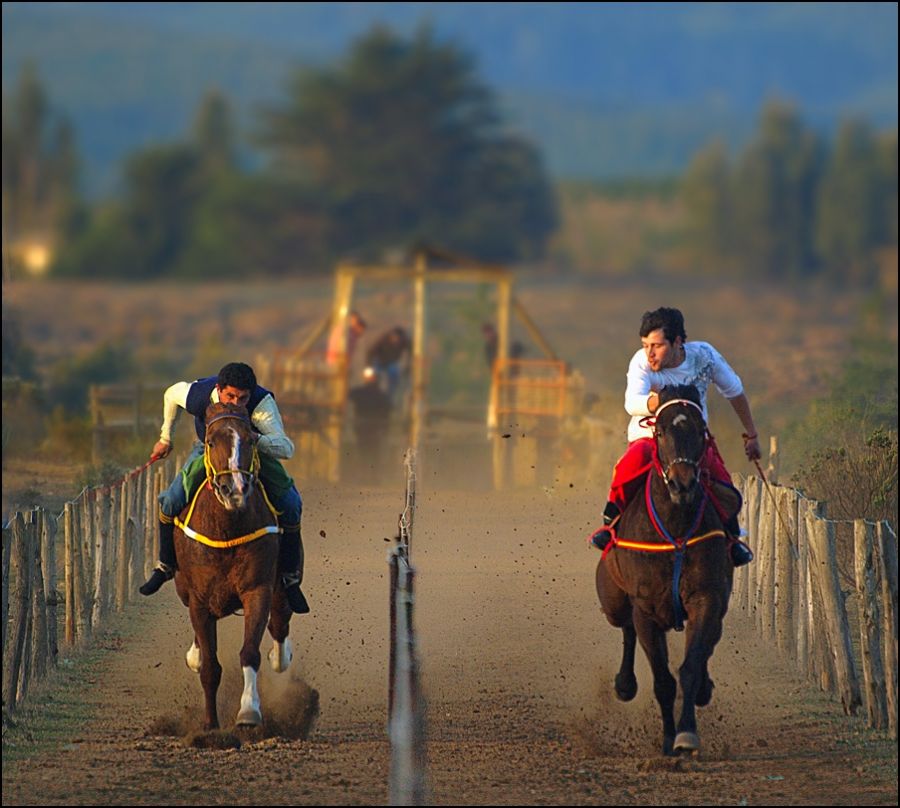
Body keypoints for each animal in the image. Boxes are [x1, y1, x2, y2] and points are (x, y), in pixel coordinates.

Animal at [172, 400, 292, 728]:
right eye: (211, 442)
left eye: (250, 440)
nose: (234, 489)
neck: (227, 529)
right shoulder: (200, 600)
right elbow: (210, 667)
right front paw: (210, 725)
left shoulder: (257, 589)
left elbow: (250, 651)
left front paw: (249, 711)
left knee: (280, 619)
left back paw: (280, 656)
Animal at [596, 386, 736, 756]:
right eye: (659, 432)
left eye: (700, 431)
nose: (682, 484)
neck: (676, 528)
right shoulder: (645, 607)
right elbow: (662, 681)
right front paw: (668, 739)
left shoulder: (706, 599)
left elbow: (690, 667)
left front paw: (686, 734)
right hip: (614, 602)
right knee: (625, 627)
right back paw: (624, 685)